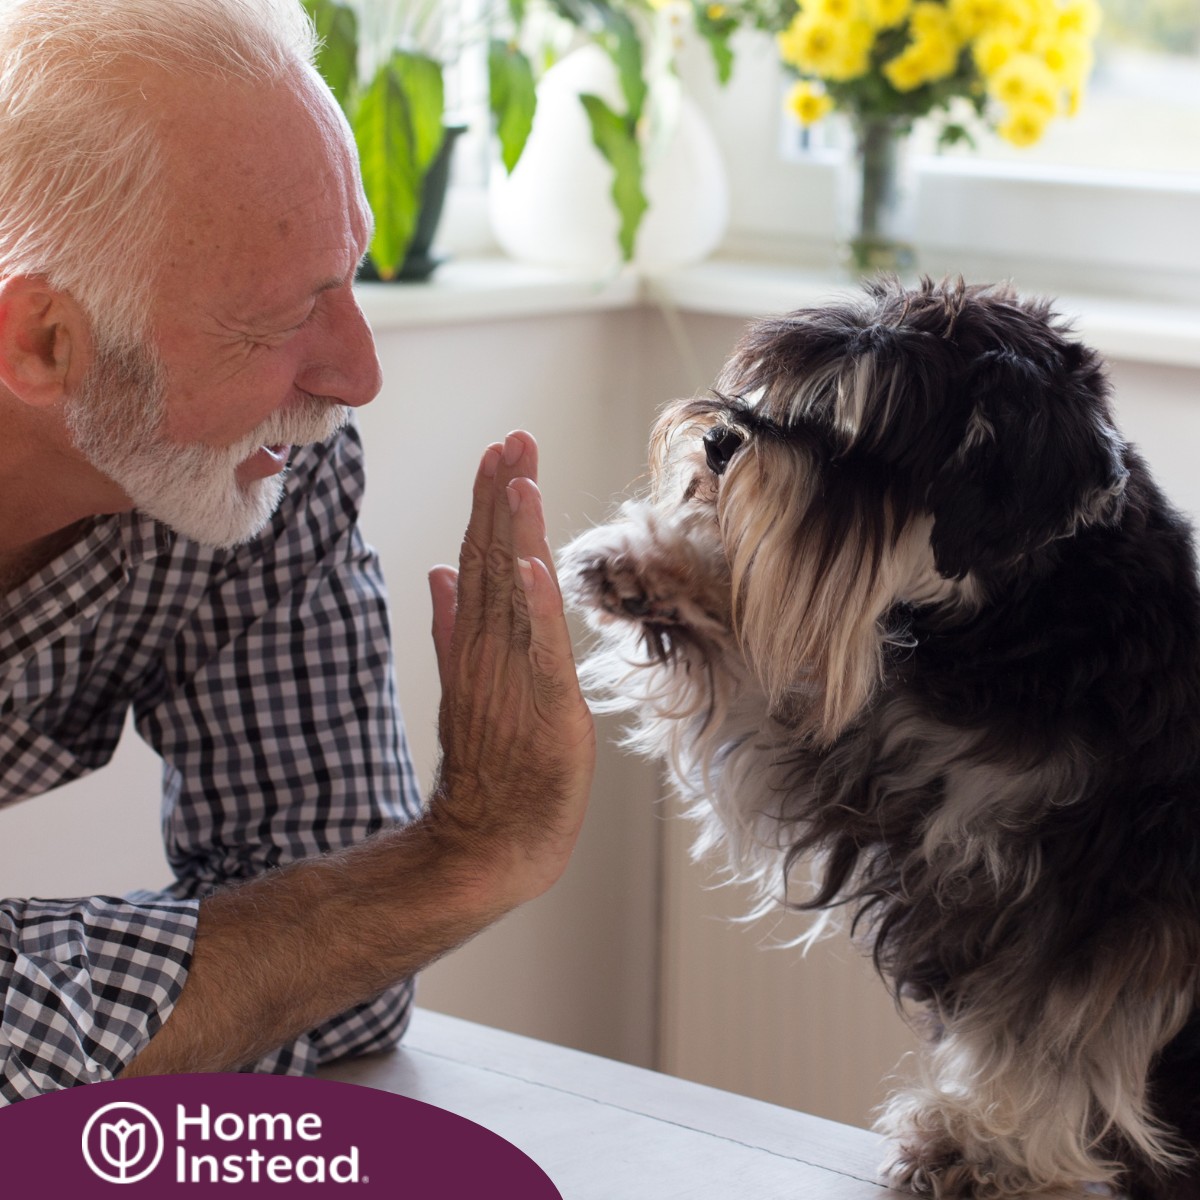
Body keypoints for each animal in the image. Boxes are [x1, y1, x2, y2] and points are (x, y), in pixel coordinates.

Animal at [559, 276, 1200, 1195]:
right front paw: (651, 564)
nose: (719, 440)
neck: (1031, 622)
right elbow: (766, 684)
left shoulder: (1106, 896)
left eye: (864, 437)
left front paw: (986, 1150)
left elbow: (1055, 1030)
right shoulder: (878, 762)